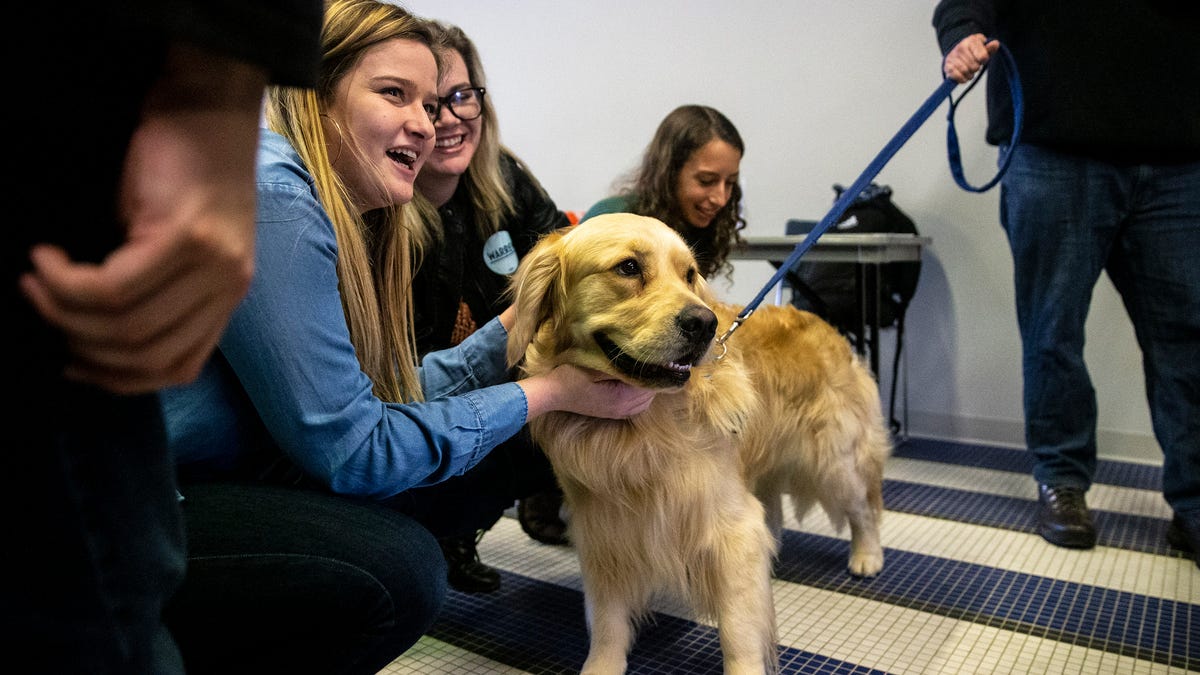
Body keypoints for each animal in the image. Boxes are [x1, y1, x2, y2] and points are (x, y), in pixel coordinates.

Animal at [506, 213, 892, 672]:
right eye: (628, 268)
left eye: (689, 274)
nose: (705, 324)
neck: (641, 430)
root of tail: (825, 323)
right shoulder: (603, 530)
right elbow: (607, 619)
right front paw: (602, 665)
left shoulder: (730, 527)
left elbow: (738, 628)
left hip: (833, 460)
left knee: (864, 508)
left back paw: (867, 556)